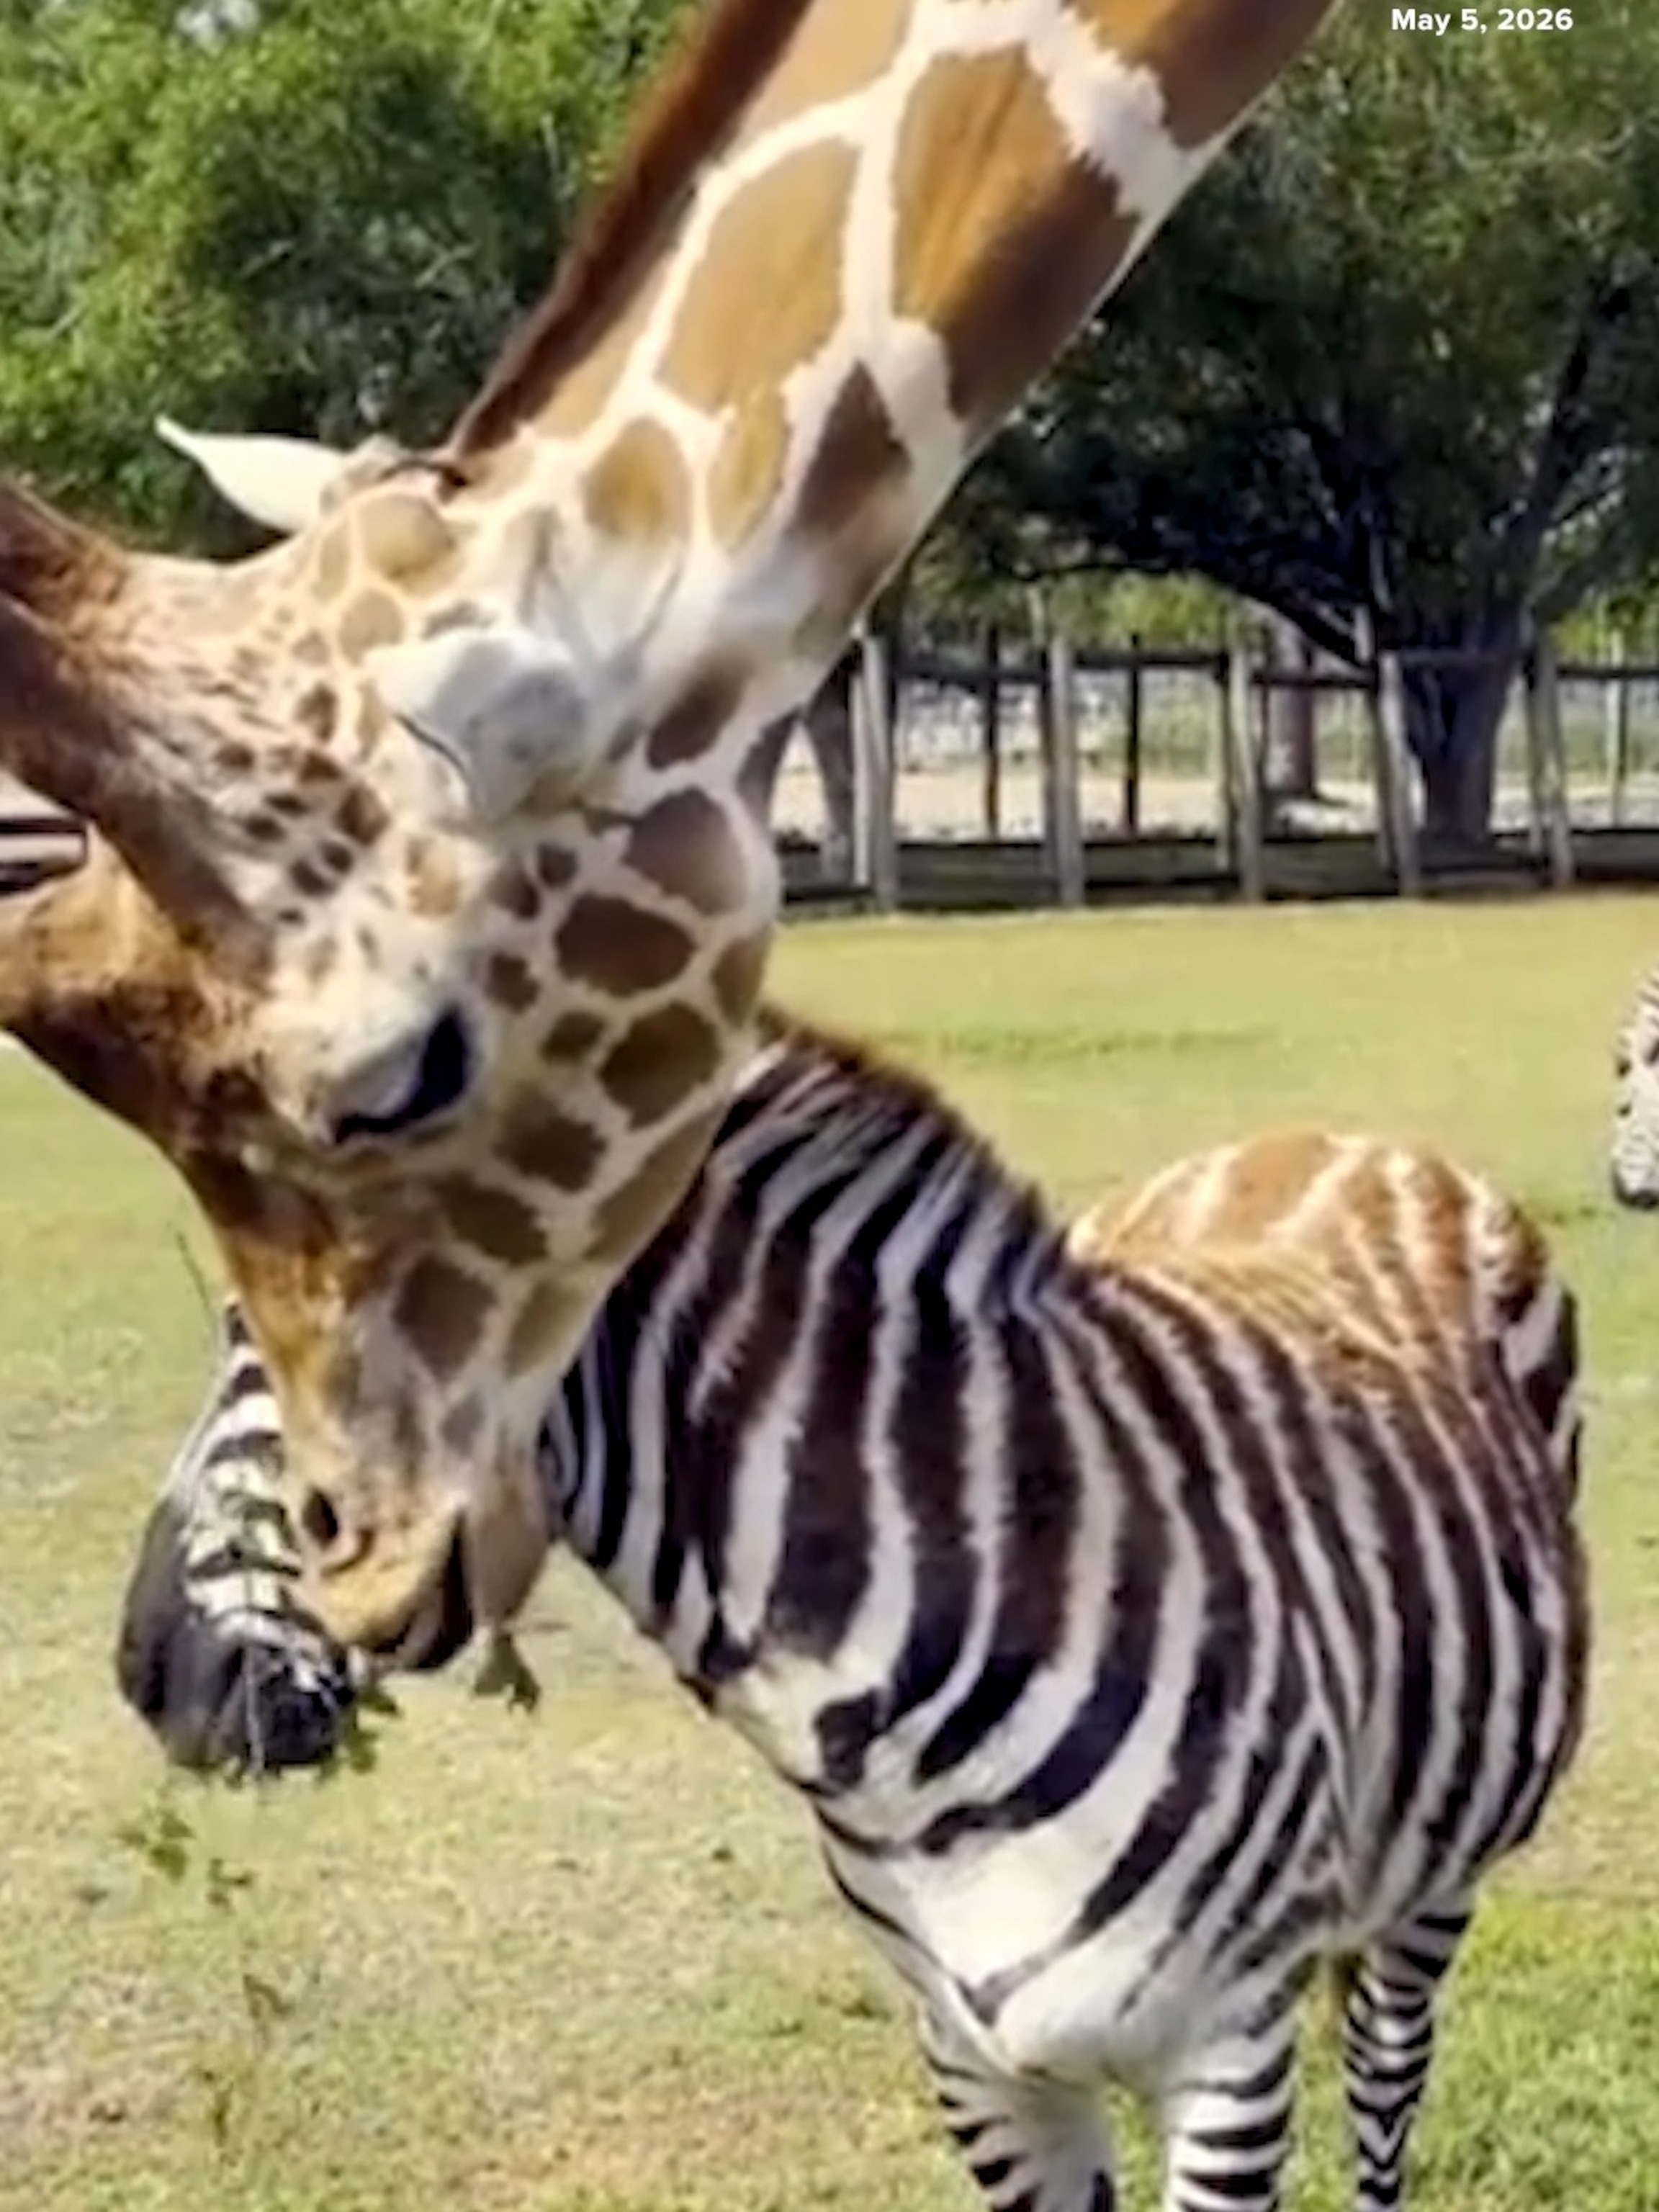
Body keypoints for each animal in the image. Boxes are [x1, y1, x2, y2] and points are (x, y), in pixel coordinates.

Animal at [117, 1008, 1591, 2212]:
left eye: (295, 1330)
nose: (147, 1673)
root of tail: (1344, 1140)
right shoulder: (974, 2067)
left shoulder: (1228, 2054)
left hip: (1433, 1892)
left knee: (1388, 2094)